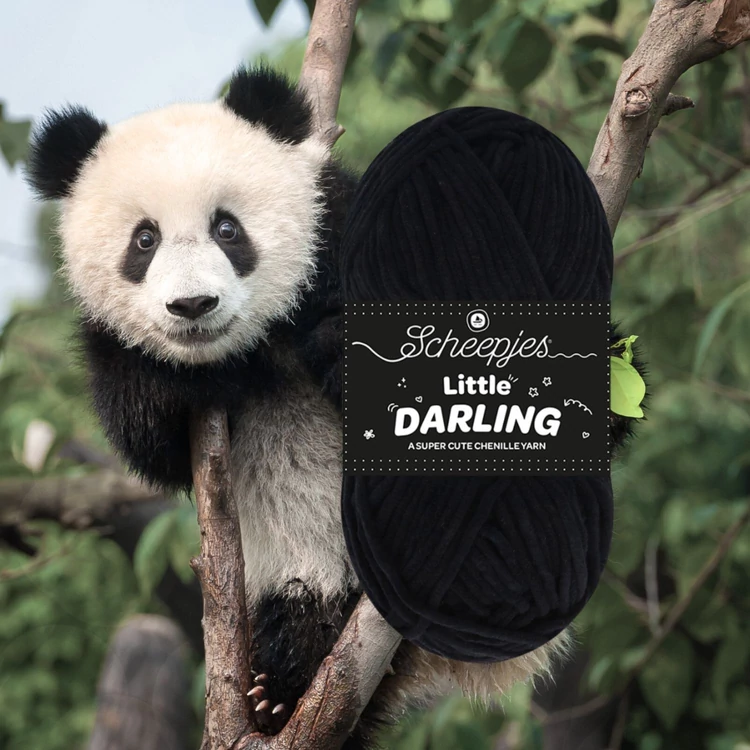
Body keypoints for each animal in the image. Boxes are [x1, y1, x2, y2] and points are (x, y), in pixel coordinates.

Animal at [26, 66, 562, 748]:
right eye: (143, 240)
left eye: (227, 228)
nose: (193, 306)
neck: (255, 344)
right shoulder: (110, 346)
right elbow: (148, 438)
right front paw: (176, 385)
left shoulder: (348, 231)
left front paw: (337, 344)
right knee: (304, 615)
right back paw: (277, 693)